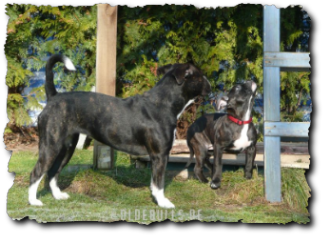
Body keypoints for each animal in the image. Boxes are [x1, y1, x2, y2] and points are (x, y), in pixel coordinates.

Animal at [27, 54, 209, 208]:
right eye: (200, 76)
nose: (210, 84)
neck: (163, 103)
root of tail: (53, 96)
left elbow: (154, 182)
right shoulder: (160, 155)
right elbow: (159, 182)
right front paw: (163, 202)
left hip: (66, 148)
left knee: (53, 172)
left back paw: (58, 196)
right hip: (51, 146)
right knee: (37, 172)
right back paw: (33, 201)